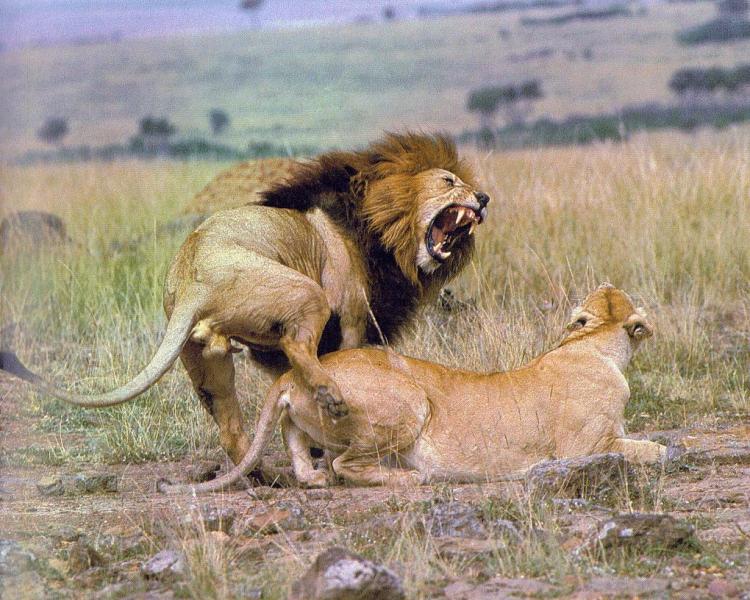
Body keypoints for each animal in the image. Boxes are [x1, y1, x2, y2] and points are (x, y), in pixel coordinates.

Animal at [0, 132, 490, 467]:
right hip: (305, 292)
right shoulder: (352, 319)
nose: (483, 197)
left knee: (230, 427)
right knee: (297, 349)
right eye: (449, 181)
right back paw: (330, 397)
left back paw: (264, 476)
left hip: (201, 357)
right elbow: (343, 358)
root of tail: (191, 280)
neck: (378, 230)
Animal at [158, 284, 666, 493]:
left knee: (307, 459)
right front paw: (661, 450)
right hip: (410, 402)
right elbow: (647, 449)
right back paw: (411, 477)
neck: (591, 345)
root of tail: (291, 374)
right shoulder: (582, 448)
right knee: (346, 464)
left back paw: (315, 478)